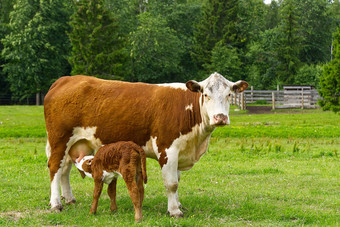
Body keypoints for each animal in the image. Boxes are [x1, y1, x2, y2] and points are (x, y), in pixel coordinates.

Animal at [43, 72, 248, 217]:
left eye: (229, 94)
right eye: (206, 94)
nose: (220, 117)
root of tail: (66, 79)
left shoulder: (181, 150)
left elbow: (177, 180)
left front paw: (178, 205)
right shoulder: (167, 149)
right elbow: (171, 183)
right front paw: (175, 211)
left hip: (77, 142)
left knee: (65, 169)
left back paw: (69, 199)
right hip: (59, 139)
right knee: (54, 168)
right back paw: (56, 204)